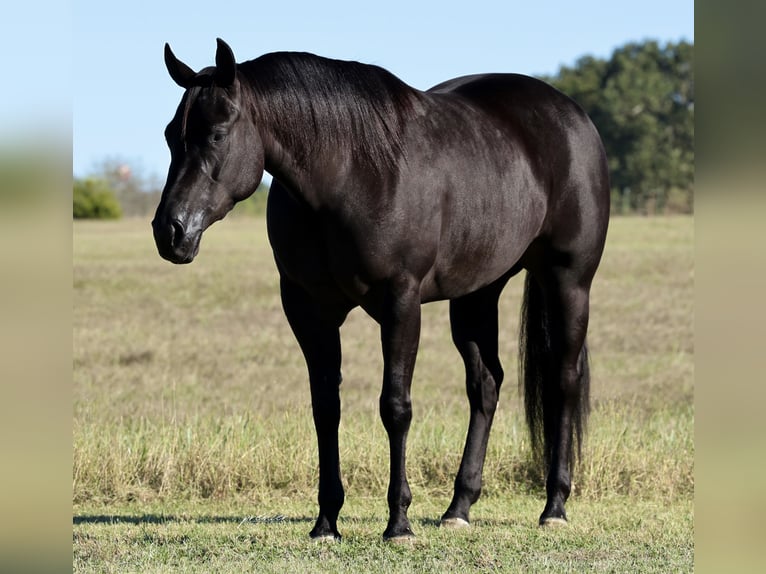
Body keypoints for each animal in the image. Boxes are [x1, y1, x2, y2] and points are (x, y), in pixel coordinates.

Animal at [152, 38, 609, 541]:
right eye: (171, 135)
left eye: (216, 134)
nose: (170, 231)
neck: (350, 173)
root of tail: (571, 115)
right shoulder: (308, 309)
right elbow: (325, 408)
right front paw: (326, 522)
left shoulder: (400, 302)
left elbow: (395, 406)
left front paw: (399, 522)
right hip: (477, 293)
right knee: (485, 385)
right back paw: (459, 507)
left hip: (569, 281)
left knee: (563, 381)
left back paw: (554, 506)